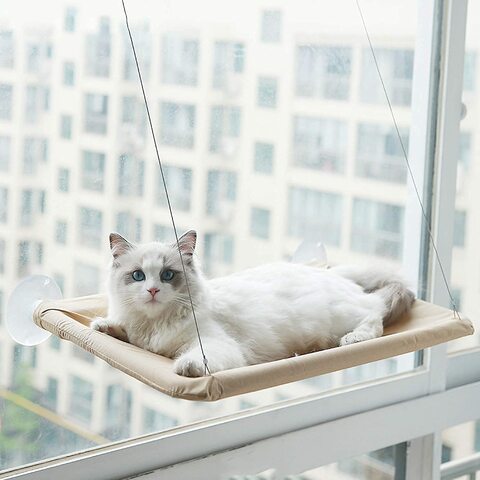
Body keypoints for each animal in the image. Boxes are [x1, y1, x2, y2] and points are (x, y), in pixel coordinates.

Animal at [92, 231, 414, 376]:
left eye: (168, 275)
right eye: (138, 275)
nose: (153, 290)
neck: (155, 324)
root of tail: (330, 273)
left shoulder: (216, 344)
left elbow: (196, 358)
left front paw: (187, 367)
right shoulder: (139, 336)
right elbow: (123, 332)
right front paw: (104, 326)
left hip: (341, 316)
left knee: (375, 315)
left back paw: (353, 339)